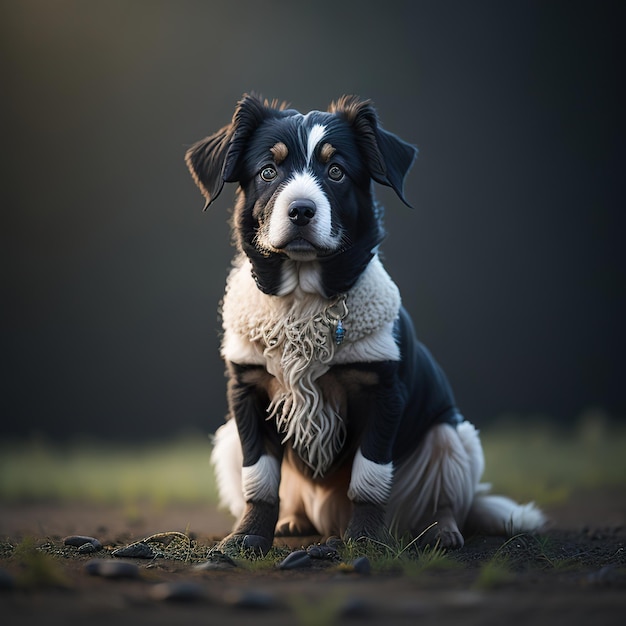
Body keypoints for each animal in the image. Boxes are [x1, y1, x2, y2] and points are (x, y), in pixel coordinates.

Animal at [184, 92, 540, 552]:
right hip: (227, 436)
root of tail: (328, 515)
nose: (301, 210)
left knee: (446, 500)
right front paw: (247, 537)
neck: (302, 300)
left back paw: (442, 530)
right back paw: (293, 520)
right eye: (268, 170)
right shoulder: (247, 389)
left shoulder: (383, 392)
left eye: (336, 171)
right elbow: (259, 477)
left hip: (453, 435)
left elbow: (369, 476)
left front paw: (367, 540)